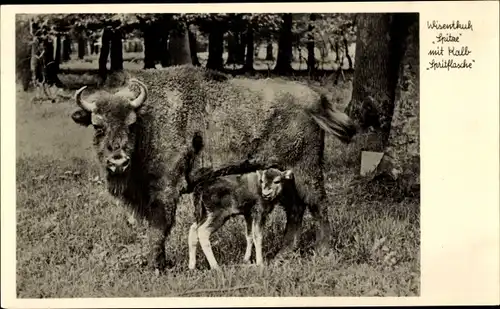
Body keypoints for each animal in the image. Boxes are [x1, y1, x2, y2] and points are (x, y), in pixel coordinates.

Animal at [72, 64, 358, 270]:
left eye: (131, 124)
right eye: (98, 126)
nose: (118, 160)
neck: (150, 119)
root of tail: (314, 99)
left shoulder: (165, 189)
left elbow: (159, 227)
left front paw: (156, 265)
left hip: (305, 170)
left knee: (318, 205)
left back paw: (322, 252)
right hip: (283, 177)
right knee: (296, 211)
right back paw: (282, 255)